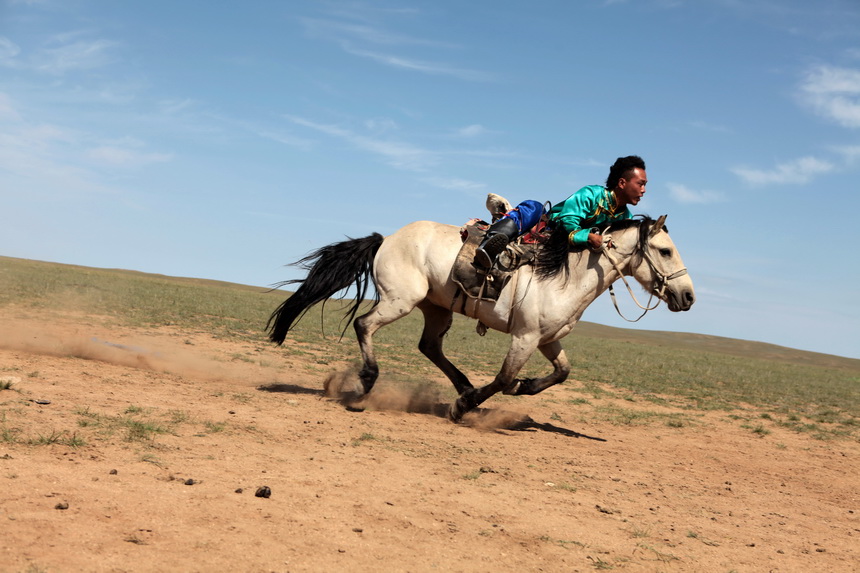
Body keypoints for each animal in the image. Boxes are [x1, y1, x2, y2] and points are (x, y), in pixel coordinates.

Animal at [266, 214, 696, 420]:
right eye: (665, 250)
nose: (688, 296)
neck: (565, 276)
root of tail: (386, 239)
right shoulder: (524, 337)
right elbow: (504, 378)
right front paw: (465, 407)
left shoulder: (548, 339)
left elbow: (562, 372)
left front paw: (521, 388)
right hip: (401, 300)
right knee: (364, 324)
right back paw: (368, 383)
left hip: (436, 308)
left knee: (429, 346)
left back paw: (462, 385)